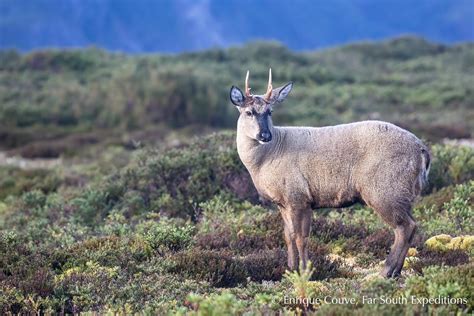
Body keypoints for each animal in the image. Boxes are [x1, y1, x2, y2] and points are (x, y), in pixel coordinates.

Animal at [229, 69, 430, 276]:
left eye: (270, 111)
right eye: (249, 112)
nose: (265, 135)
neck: (265, 159)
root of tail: (422, 149)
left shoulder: (299, 197)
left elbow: (301, 237)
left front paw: (305, 271)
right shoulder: (283, 202)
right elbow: (288, 236)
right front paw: (291, 270)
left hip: (385, 189)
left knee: (405, 227)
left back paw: (386, 271)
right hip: (401, 193)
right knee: (410, 225)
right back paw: (395, 271)